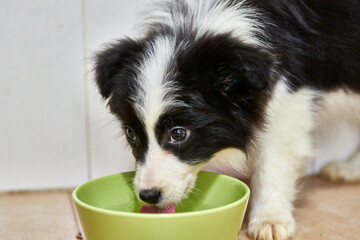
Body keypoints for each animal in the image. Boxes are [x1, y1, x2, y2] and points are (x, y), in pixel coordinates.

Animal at [93, 0, 360, 239]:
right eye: (131, 134)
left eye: (178, 133)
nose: (148, 195)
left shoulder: (292, 94)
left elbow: (276, 158)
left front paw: (270, 220)